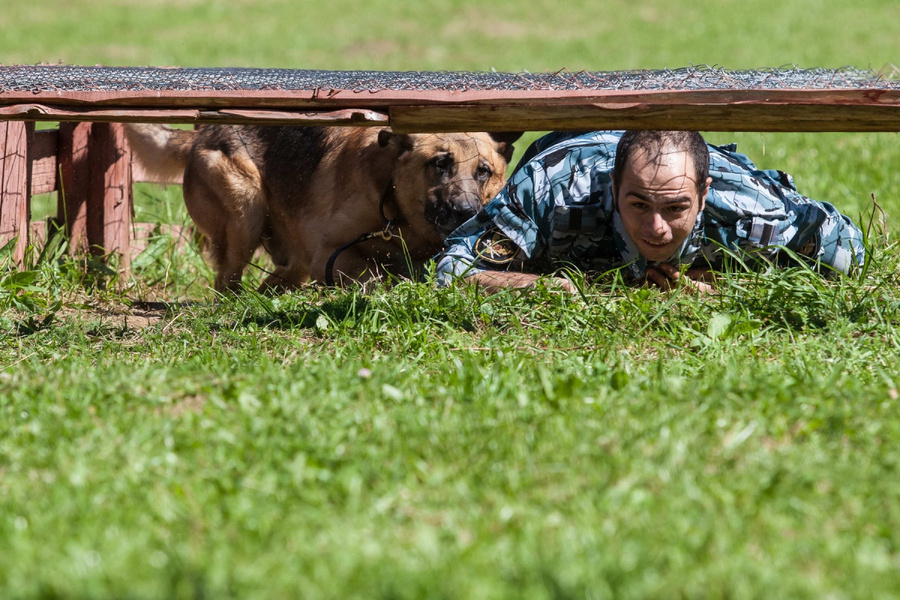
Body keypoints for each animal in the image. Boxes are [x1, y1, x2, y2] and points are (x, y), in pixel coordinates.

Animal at [127, 123, 520, 292]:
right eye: (440, 164)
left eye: (483, 171)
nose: (465, 211)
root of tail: (200, 134)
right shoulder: (331, 255)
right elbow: (375, 273)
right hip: (246, 213)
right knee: (227, 279)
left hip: (293, 255)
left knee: (270, 283)